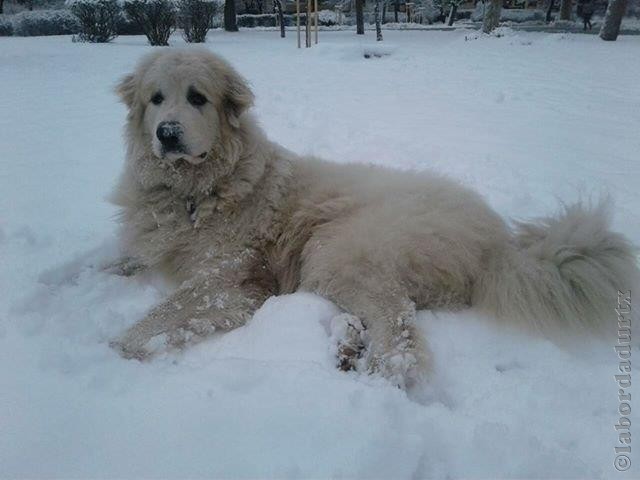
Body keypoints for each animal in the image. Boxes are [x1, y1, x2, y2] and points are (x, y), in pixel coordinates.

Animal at [110, 47, 636, 386]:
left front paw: (118, 346)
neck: (195, 191)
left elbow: (155, 319)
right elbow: (120, 263)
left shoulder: (227, 281)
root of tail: (499, 241)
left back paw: (384, 373)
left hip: (335, 250)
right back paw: (348, 345)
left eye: (197, 97)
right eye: (156, 98)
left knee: (397, 322)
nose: (168, 133)